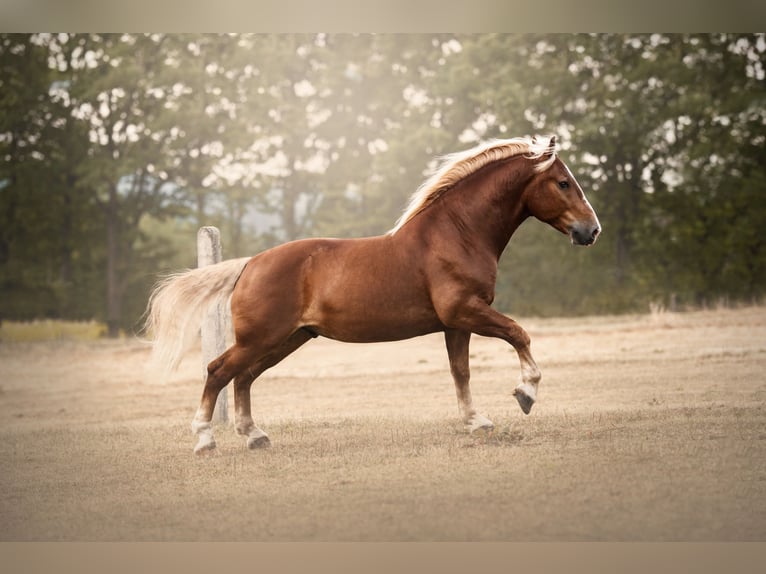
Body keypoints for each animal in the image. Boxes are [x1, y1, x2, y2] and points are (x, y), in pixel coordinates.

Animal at [145, 135, 601, 453]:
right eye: (563, 182)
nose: (591, 230)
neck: (456, 234)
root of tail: (249, 264)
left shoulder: (455, 323)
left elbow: (461, 371)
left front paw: (477, 421)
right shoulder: (465, 312)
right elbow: (519, 334)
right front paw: (526, 394)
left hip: (287, 338)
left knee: (244, 377)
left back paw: (255, 435)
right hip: (262, 338)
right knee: (219, 371)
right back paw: (205, 440)